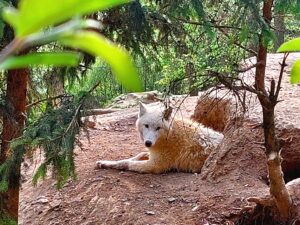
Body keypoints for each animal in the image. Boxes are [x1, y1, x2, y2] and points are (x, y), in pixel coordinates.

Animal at [95, 102, 224, 174]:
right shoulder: (151, 153)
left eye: (158, 128)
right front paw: (104, 162)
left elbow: (125, 163)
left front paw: (108, 164)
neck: (170, 135)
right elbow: (137, 155)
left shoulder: (154, 165)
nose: (148, 143)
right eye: (146, 125)